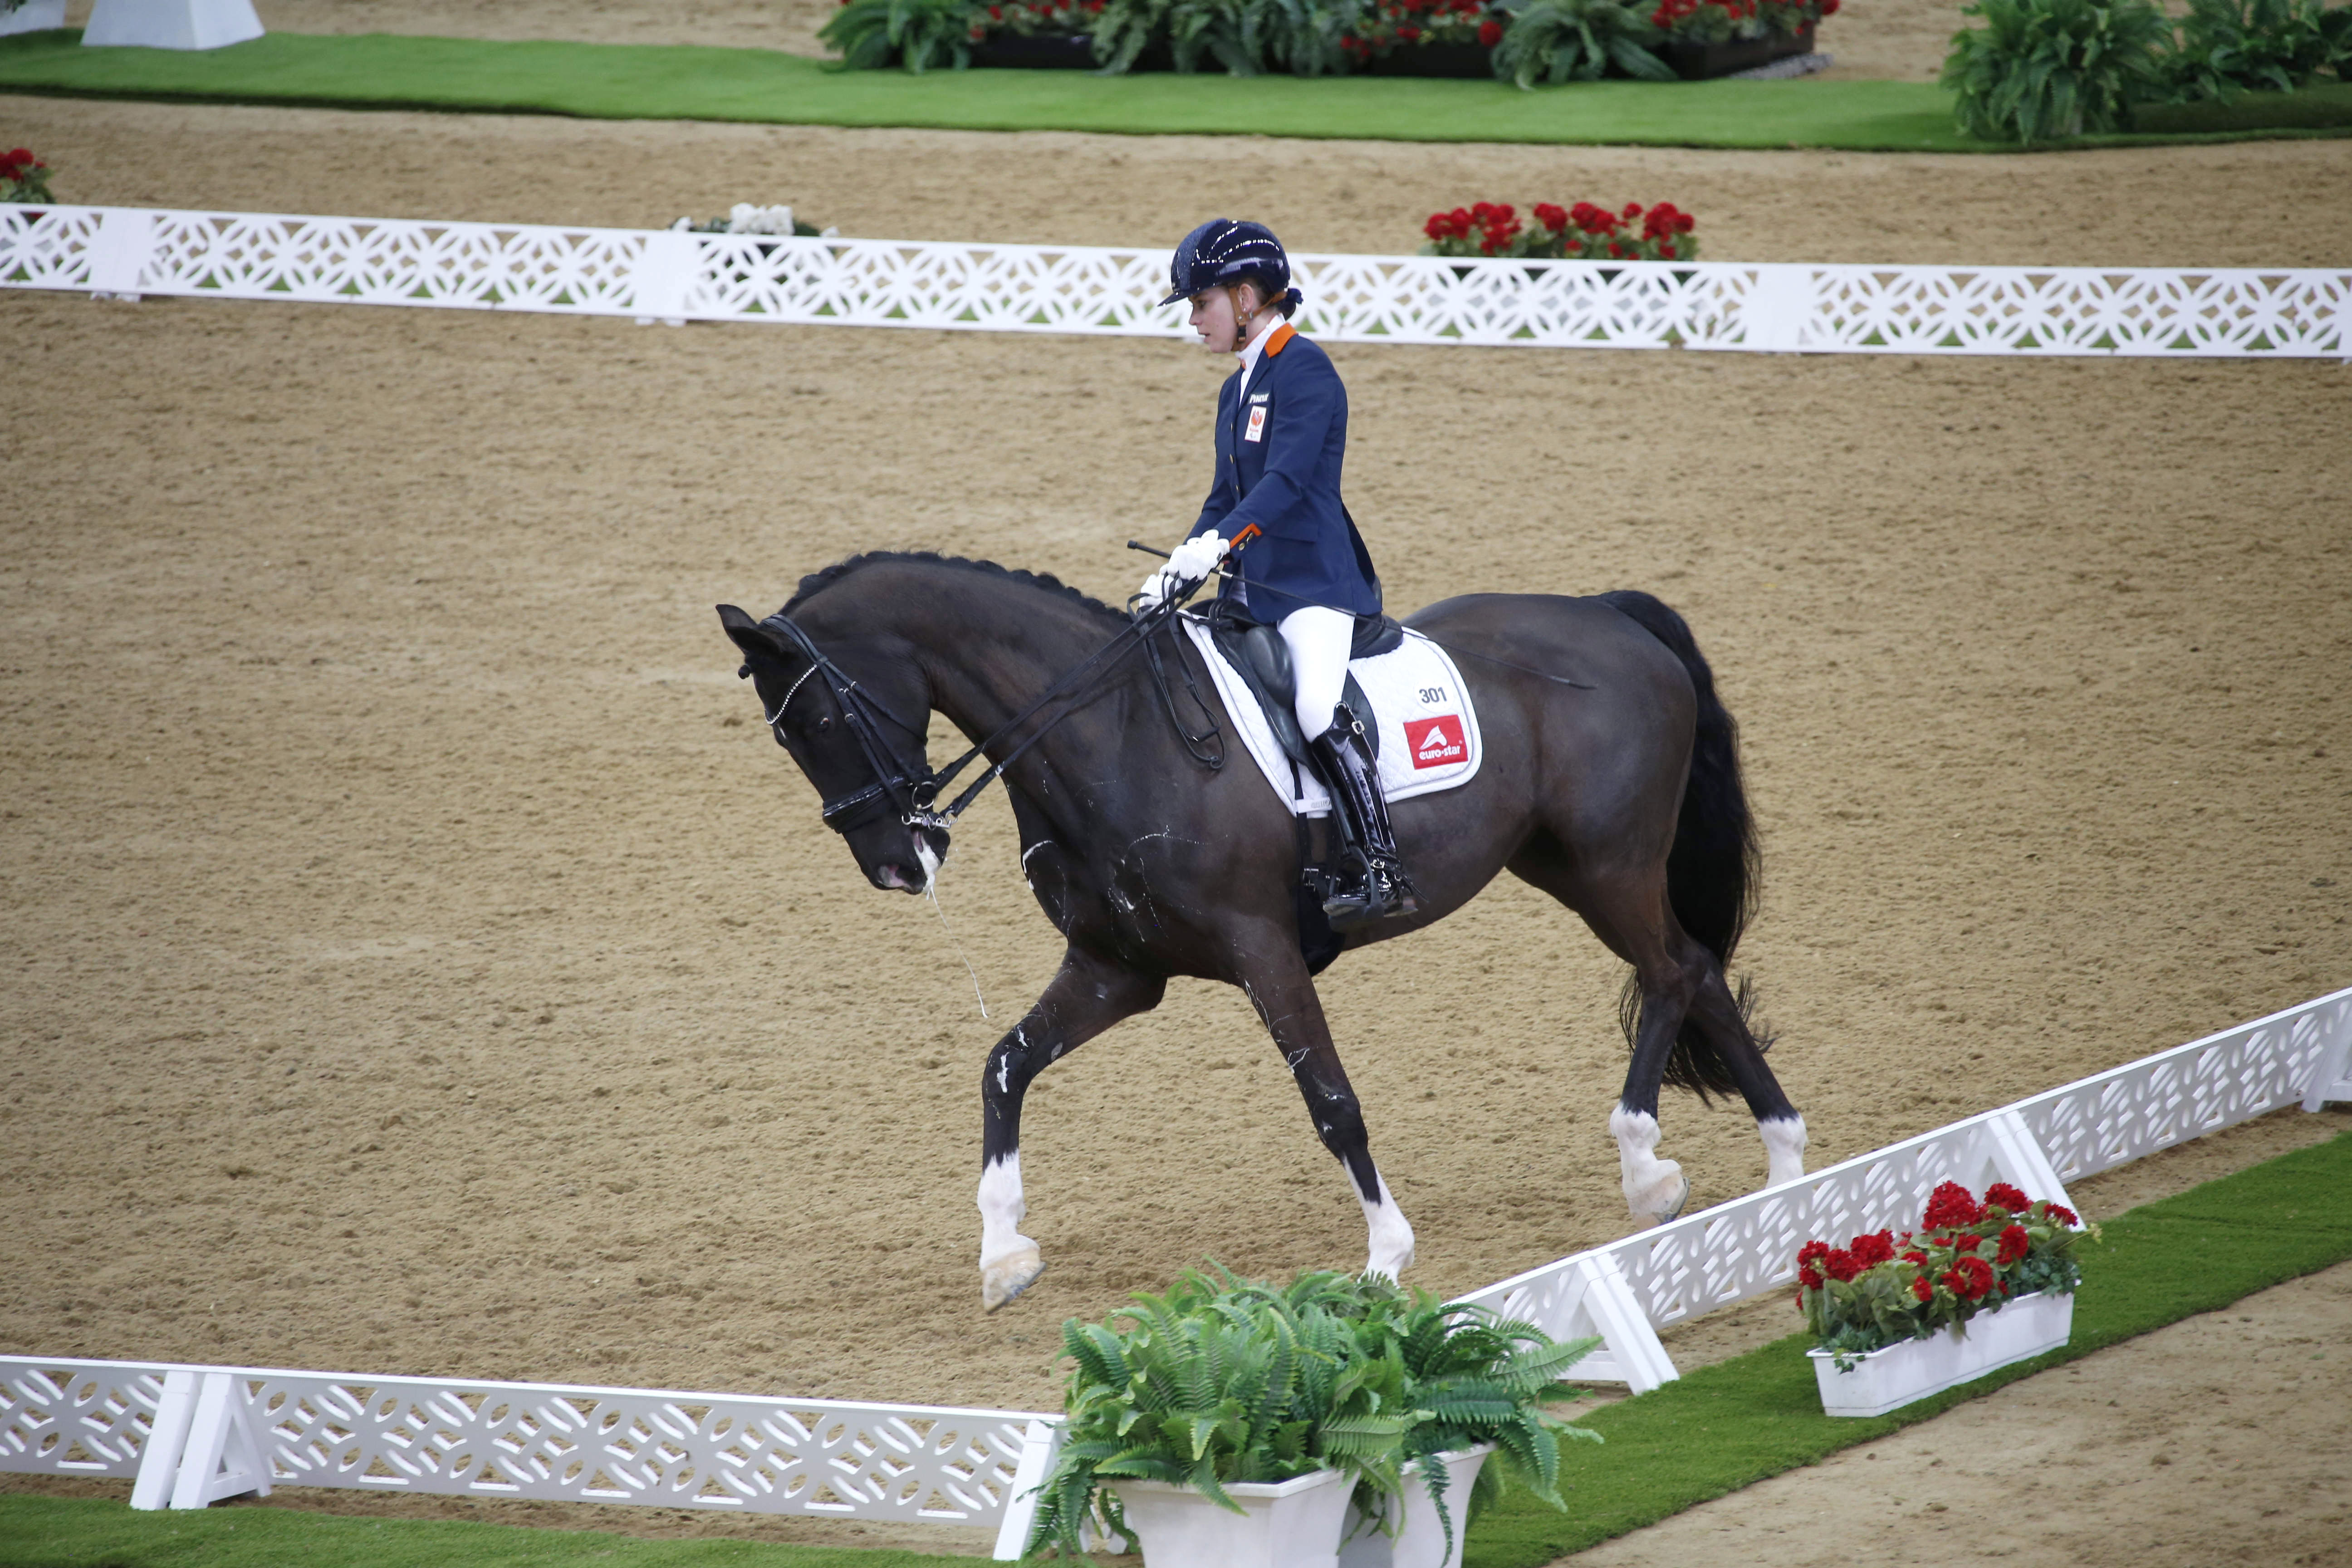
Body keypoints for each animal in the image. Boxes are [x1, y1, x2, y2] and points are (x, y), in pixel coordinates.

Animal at [717, 553, 1806, 1310]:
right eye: (788, 735)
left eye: (817, 720)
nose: (896, 867)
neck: (1109, 736)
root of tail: (1610, 613)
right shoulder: (1116, 970)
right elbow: (1002, 1068)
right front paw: (1003, 1257)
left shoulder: (1264, 951)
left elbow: (1332, 1104)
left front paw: (1384, 1260)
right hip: (1565, 866)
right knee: (1697, 971)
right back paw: (1784, 1177)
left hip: (1610, 865)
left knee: (1672, 973)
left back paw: (1647, 1165)